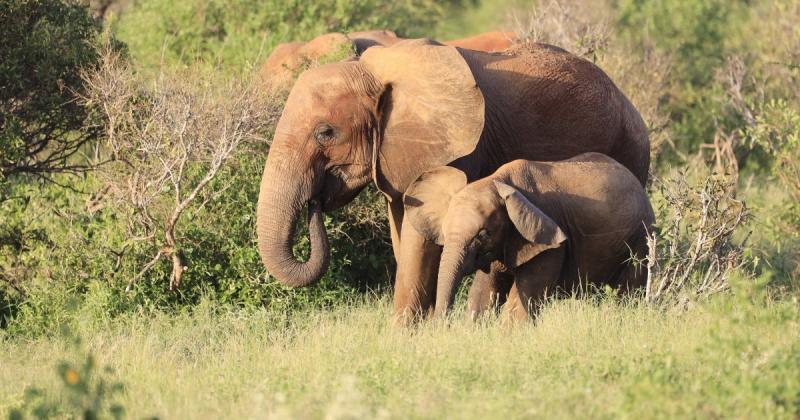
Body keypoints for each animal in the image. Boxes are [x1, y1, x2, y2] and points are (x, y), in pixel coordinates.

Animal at [404, 153, 652, 320]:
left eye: (482, 235)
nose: (439, 323)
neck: (497, 180)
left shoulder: (549, 240)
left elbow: (521, 301)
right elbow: (484, 293)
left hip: (641, 238)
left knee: (628, 293)